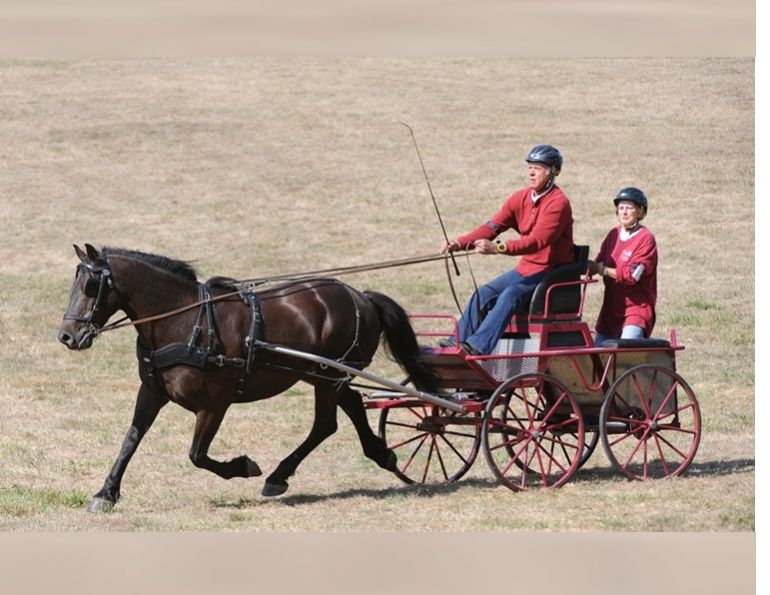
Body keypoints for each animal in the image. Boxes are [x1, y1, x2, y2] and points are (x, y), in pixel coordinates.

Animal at [57, 244, 438, 511]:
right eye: (73, 283)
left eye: (91, 284)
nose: (67, 336)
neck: (186, 321)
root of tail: (363, 297)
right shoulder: (151, 391)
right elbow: (131, 439)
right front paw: (106, 492)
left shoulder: (215, 404)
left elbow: (197, 455)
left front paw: (244, 466)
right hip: (324, 374)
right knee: (349, 408)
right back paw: (379, 455)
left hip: (329, 374)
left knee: (326, 424)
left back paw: (278, 476)